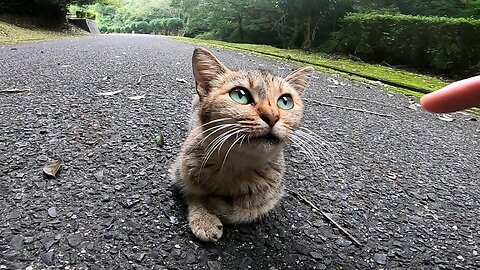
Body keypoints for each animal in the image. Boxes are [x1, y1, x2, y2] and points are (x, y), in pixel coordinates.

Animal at [172, 47, 316, 242]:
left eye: (285, 101)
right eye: (239, 95)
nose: (272, 116)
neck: (236, 165)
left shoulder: (271, 198)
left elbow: (246, 212)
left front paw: (218, 205)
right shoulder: (180, 172)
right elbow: (193, 194)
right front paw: (204, 217)